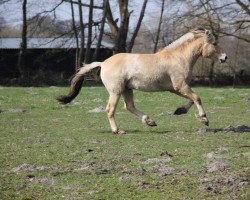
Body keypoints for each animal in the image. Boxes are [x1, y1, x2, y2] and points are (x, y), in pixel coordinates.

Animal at [56, 27, 227, 134]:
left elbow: (192, 99)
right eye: (214, 43)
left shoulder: (176, 88)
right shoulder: (180, 86)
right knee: (111, 110)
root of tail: (103, 63)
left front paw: (180, 111)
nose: (225, 57)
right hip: (116, 91)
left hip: (127, 89)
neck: (178, 57)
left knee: (129, 106)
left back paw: (150, 121)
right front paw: (204, 119)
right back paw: (118, 131)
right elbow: (197, 97)